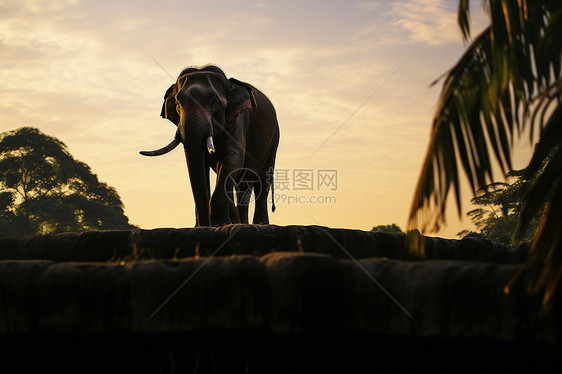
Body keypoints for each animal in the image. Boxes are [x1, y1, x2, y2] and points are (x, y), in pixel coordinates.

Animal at [141, 65, 278, 226]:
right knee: (242, 184)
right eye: (178, 104)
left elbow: (232, 158)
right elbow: (204, 165)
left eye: (215, 102)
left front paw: (220, 224)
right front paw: (203, 226)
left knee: (263, 179)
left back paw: (260, 224)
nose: (205, 223)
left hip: (273, 141)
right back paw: (242, 223)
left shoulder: (237, 122)